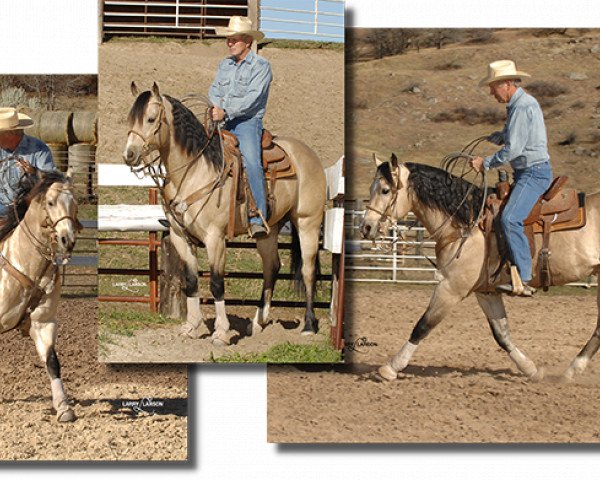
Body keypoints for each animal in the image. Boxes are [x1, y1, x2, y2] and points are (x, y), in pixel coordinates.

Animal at [0, 172, 80, 420]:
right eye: (51, 202)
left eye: (75, 203)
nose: (67, 239)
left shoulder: (43, 323)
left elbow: (52, 361)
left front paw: (63, 406)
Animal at [123, 83, 326, 344]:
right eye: (130, 119)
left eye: (150, 119)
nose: (129, 155)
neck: (196, 171)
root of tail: (309, 154)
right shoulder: (180, 237)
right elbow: (191, 282)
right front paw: (191, 326)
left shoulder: (215, 239)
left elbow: (217, 284)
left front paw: (221, 332)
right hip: (268, 232)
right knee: (271, 267)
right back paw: (257, 323)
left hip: (308, 222)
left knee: (308, 271)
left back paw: (309, 325)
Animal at [360, 156, 600, 384]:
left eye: (385, 190)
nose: (366, 227)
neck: (467, 222)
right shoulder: (486, 291)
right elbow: (502, 334)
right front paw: (531, 370)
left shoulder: (451, 288)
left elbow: (423, 325)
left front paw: (390, 368)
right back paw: (569, 372)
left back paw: (571, 370)